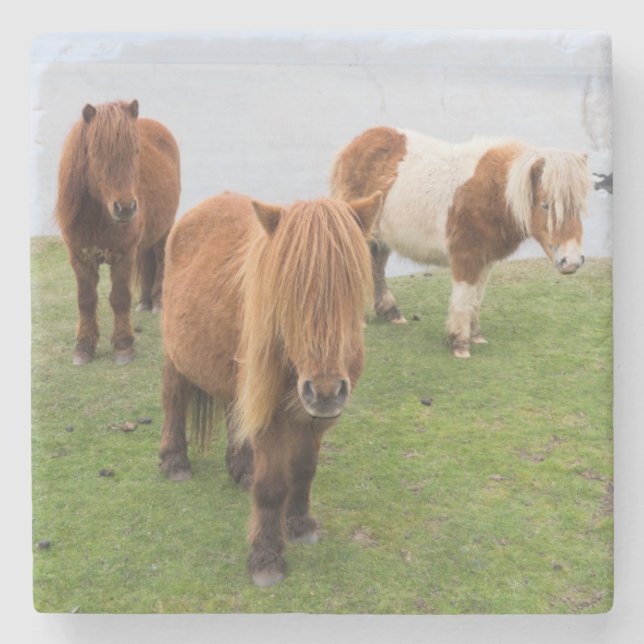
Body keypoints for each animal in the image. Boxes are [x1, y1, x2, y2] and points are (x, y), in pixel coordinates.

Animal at [54, 99, 181, 365]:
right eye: (96, 153)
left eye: (135, 151)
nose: (126, 208)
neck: (98, 217)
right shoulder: (80, 258)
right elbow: (86, 300)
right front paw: (84, 347)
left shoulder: (124, 256)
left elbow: (120, 298)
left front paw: (123, 346)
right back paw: (145, 302)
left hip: (164, 231)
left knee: (161, 260)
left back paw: (157, 302)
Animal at [159, 190, 383, 586]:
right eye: (288, 293)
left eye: (351, 286)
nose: (325, 391)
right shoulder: (273, 417)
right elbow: (272, 485)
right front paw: (266, 556)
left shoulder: (315, 420)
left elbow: (305, 469)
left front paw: (300, 523)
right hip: (175, 357)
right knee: (174, 401)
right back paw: (175, 461)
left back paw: (241, 469)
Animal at [330, 127, 593, 358]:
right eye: (546, 205)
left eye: (578, 207)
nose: (571, 262)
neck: (496, 193)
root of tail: (355, 144)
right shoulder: (466, 256)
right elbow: (463, 297)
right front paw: (459, 343)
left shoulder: (485, 260)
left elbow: (476, 297)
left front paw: (475, 335)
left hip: (380, 238)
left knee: (375, 265)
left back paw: (390, 312)